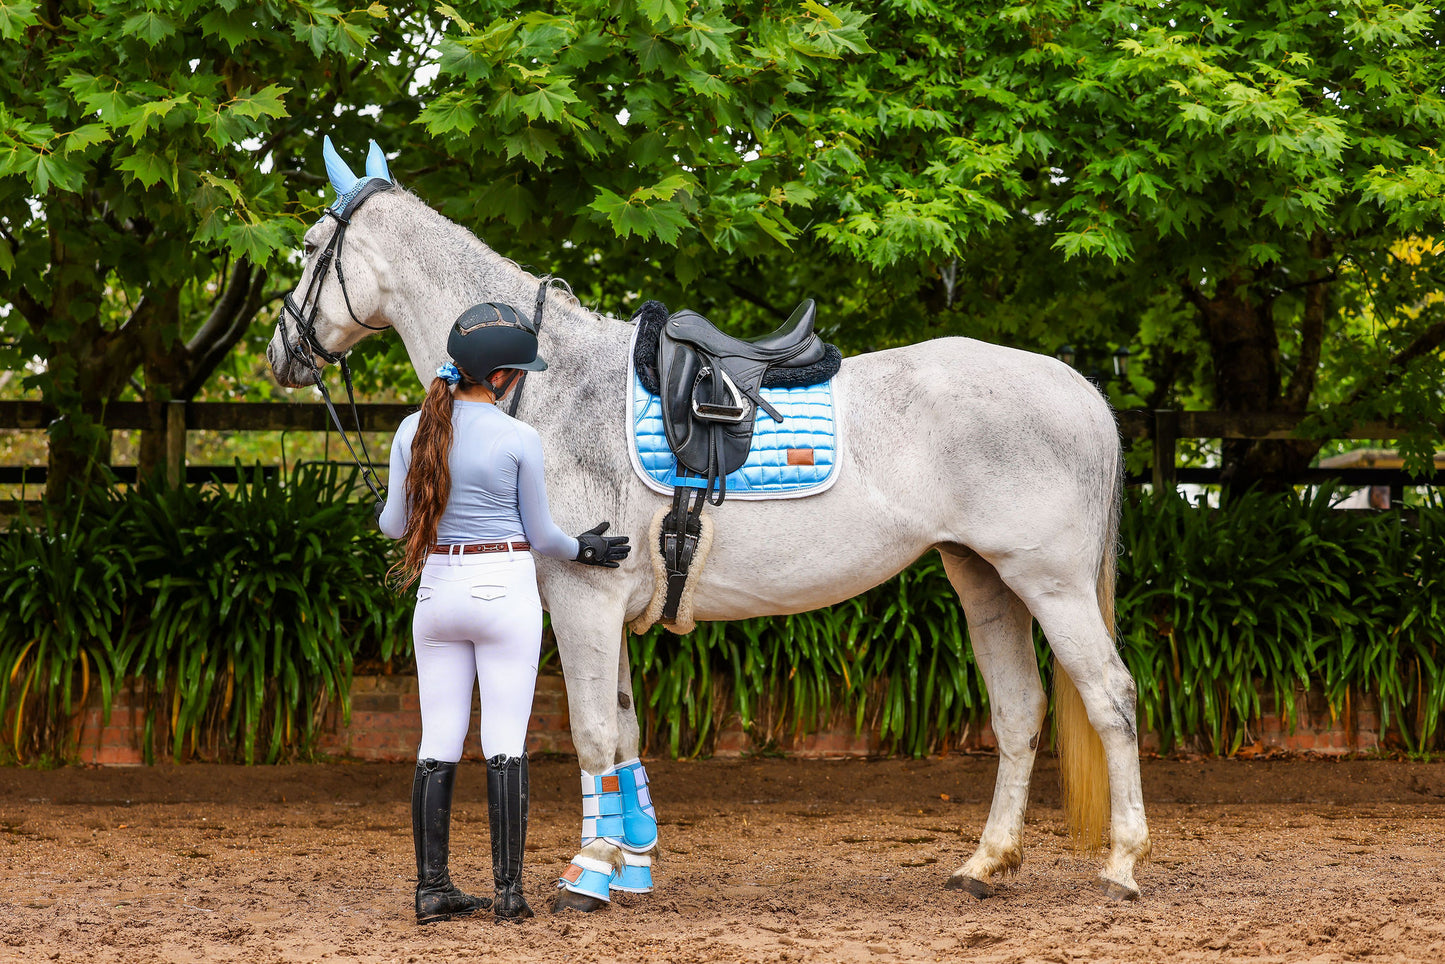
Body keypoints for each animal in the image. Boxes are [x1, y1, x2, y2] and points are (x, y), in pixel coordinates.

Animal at [268, 148, 1150, 907]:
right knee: (1019, 713)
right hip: (983, 579)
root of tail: (1077, 387)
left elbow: (592, 735)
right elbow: (624, 733)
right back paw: (985, 862)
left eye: (309, 248)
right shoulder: (607, 607)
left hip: (1050, 584)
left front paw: (591, 871)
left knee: (1110, 697)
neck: (550, 385)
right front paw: (628, 867)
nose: (280, 355)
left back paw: (1121, 864)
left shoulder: (583, 600)